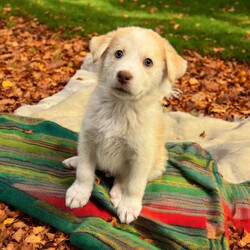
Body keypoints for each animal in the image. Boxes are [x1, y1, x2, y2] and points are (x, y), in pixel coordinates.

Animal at [65, 26, 187, 224]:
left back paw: (117, 193)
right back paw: (73, 161)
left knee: (123, 178)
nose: (123, 75)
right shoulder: (88, 140)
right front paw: (78, 193)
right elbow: (85, 171)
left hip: (156, 165)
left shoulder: (140, 156)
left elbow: (134, 185)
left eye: (148, 62)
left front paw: (129, 206)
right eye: (118, 53)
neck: (120, 108)